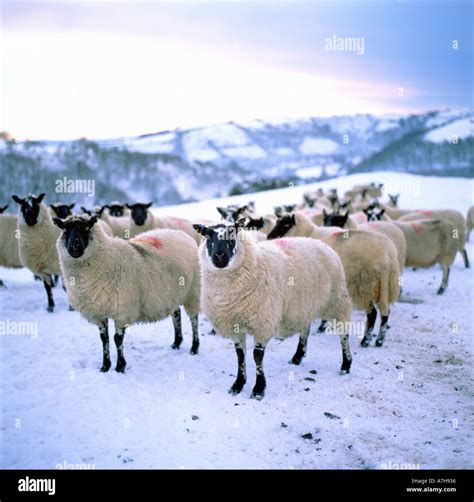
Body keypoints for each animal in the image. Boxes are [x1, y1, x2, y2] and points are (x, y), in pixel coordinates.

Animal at [53, 216, 202, 372]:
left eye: (86, 228)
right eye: (65, 229)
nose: (75, 247)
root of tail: (182, 234)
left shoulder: (123, 310)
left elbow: (117, 339)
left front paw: (120, 366)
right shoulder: (98, 313)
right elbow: (104, 339)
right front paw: (105, 366)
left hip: (193, 291)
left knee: (194, 319)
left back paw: (194, 347)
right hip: (172, 294)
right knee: (176, 314)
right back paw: (176, 343)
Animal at [192, 220, 352, 400]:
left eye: (232, 234)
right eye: (207, 236)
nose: (220, 256)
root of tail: (322, 244)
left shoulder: (262, 322)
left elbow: (257, 357)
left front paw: (258, 389)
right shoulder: (235, 326)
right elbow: (240, 356)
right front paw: (238, 384)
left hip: (336, 301)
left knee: (343, 334)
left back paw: (346, 365)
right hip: (305, 304)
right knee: (306, 328)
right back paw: (298, 357)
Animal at [266, 212, 400, 350]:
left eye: (285, 225)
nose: (269, 237)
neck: (307, 232)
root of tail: (388, 255)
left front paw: (321, 326)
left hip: (364, 285)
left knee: (372, 313)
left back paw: (365, 341)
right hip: (385, 284)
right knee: (385, 311)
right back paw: (379, 340)